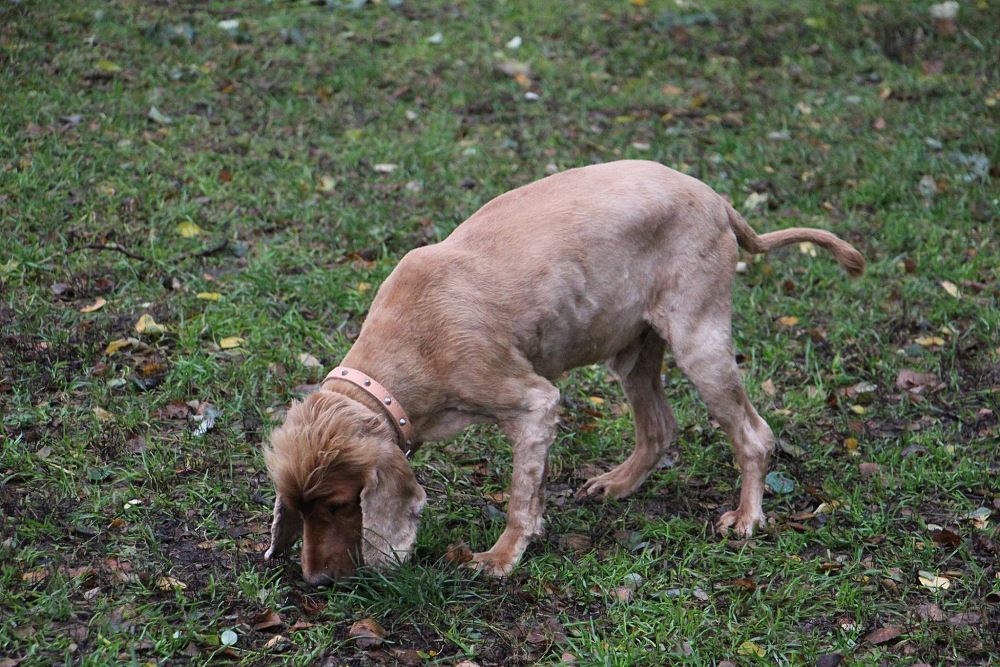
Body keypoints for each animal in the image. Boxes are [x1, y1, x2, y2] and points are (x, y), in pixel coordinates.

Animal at [263, 160, 864, 584]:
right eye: (297, 508)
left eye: (339, 505)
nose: (316, 582)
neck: (405, 351)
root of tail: (718, 201)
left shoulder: (533, 402)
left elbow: (518, 497)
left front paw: (499, 558)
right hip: (633, 349)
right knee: (659, 427)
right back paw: (615, 484)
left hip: (699, 339)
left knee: (754, 435)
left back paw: (745, 518)